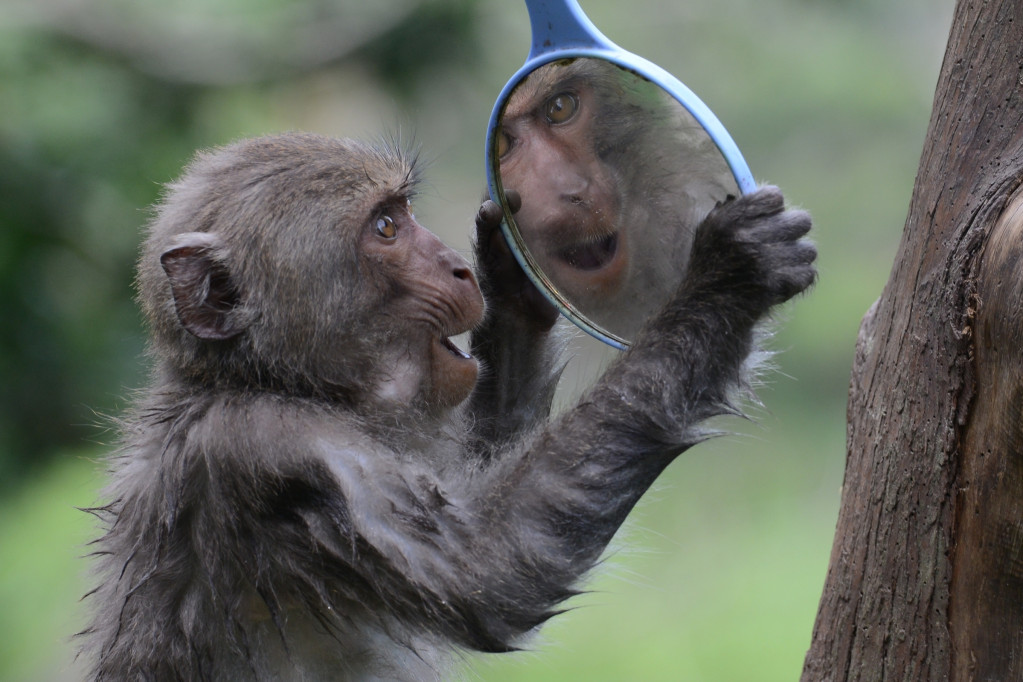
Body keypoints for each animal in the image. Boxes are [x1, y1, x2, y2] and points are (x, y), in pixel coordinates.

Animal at [79, 130, 814, 678]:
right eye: (384, 227)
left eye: (404, 214)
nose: (455, 268)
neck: (263, 381)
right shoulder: (271, 448)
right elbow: (492, 570)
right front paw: (727, 274)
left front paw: (515, 272)